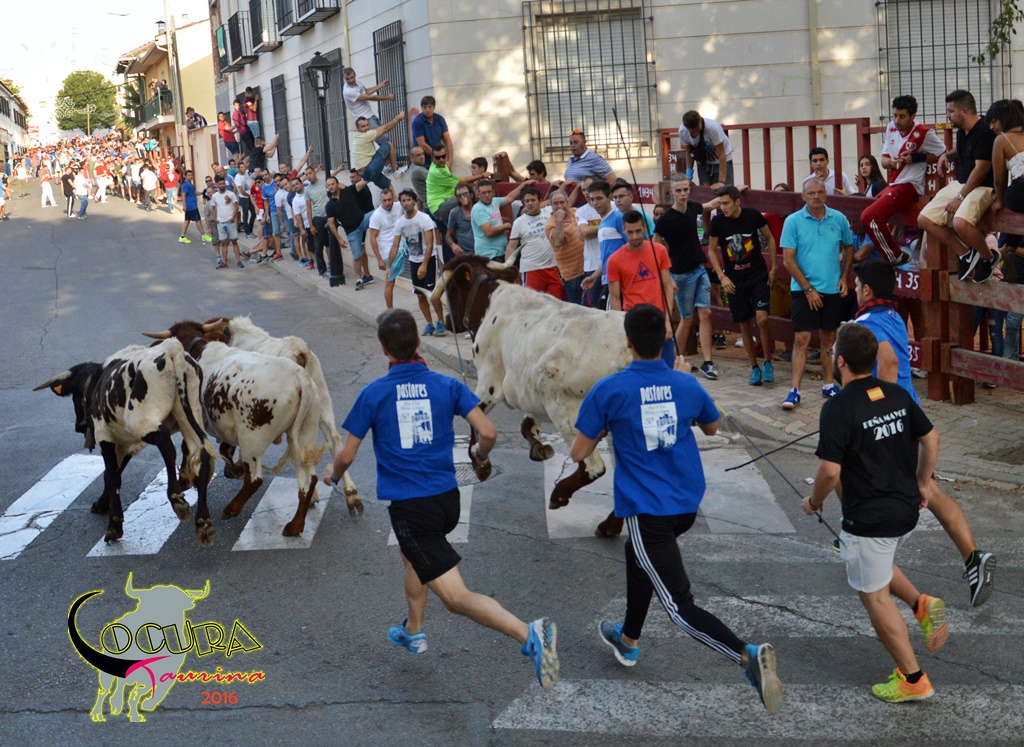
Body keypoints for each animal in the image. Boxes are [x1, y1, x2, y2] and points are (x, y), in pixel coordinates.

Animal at [35, 339, 217, 545]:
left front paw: (114, 524)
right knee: (201, 453)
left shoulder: (104, 436)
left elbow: (111, 475)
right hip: (188, 415)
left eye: (75, 396)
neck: (96, 381)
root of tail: (171, 348)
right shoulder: (126, 443)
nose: (78, 426)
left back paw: (176, 498)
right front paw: (102, 503)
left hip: (140, 420)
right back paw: (203, 522)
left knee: (165, 442)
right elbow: (114, 473)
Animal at [144, 320, 326, 537]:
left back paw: (232, 509)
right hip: (304, 434)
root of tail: (300, 378)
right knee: (309, 480)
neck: (198, 350)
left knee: (255, 480)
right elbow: (223, 448)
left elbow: (188, 449)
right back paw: (295, 525)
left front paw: (185, 479)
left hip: (252, 438)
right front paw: (229, 469)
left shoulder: (192, 421)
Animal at [198, 314, 363, 516]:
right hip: (322, 403)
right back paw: (351, 494)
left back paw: (313, 496)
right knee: (333, 439)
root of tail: (299, 349)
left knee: (300, 451)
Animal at [433, 254, 632, 537]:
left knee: (593, 466)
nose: (449, 318)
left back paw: (560, 494)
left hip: (566, 410)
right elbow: (526, 425)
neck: (491, 300)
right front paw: (539, 449)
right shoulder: (528, 396)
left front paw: (481, 464)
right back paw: (610, 524)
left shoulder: (489, 385)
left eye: (450, 289)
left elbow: (475, 422)